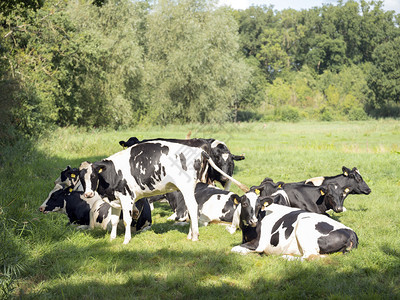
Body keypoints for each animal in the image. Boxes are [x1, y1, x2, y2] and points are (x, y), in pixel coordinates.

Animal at [79, 138, 247, 244]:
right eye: (81, 177)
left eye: (93, 176)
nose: (88, 194)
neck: (113, 172)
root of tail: (199, 151)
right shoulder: (116, 200)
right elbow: (114, 221)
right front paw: (112, 238)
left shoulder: (127, 198)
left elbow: (126, 220)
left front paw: (126, 240)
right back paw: (190, 235)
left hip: (187, 187)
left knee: (193, 208)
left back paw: (194, 236)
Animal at [231, 195, 360, 260]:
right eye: (244, 204)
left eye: (259, 205)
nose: (253, 220)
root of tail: (351, 232)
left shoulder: (258, 243)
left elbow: (233, 249)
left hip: (304, 226)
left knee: (310, 256)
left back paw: (285, 257)